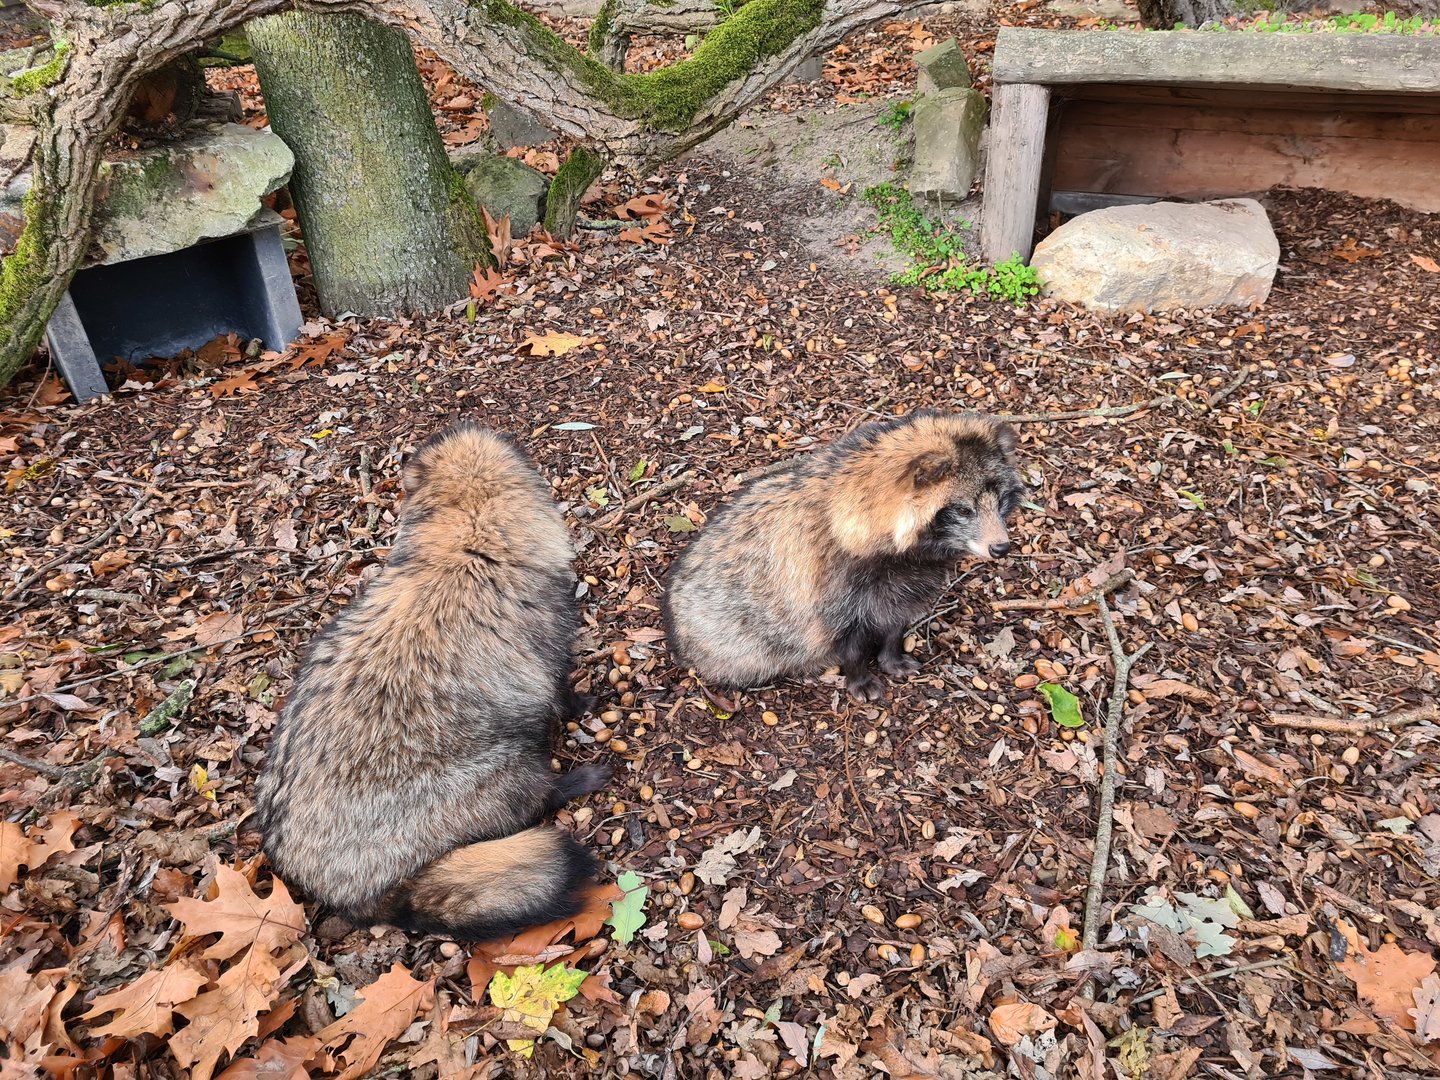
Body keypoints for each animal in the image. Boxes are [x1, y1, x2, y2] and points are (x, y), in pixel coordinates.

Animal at [254, 422, 608, 942]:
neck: (462, 541)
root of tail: (345, 895)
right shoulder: (547, 632)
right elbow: (558, 685)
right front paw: (584, 700)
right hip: (494, 773)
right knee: (532, 798)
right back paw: (582, 778)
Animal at [661, 411, 1023, 702]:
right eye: (963, 510)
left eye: (1001, 500)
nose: (1001, 548)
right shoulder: (832, 593)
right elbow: (850, 645)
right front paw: (859, 676)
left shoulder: (901, 586)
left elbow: (894, 623)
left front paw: (891, 655)